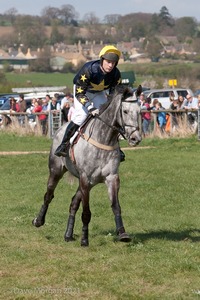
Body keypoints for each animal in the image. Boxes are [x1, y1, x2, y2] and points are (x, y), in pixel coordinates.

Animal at [32, 84, 141, 246]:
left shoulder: (111, 178)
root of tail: (60, 128)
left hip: (87, 183)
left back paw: (68, 234)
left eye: (139, 111)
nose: (135, 138)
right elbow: (86, 212)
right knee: (48, 195)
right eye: (126, 111)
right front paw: (84, 239)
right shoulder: (85, 178)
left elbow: (116, 206)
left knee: (73, 203)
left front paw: (122, 233)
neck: (104, 138)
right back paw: (39, 221)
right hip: (56, 171)